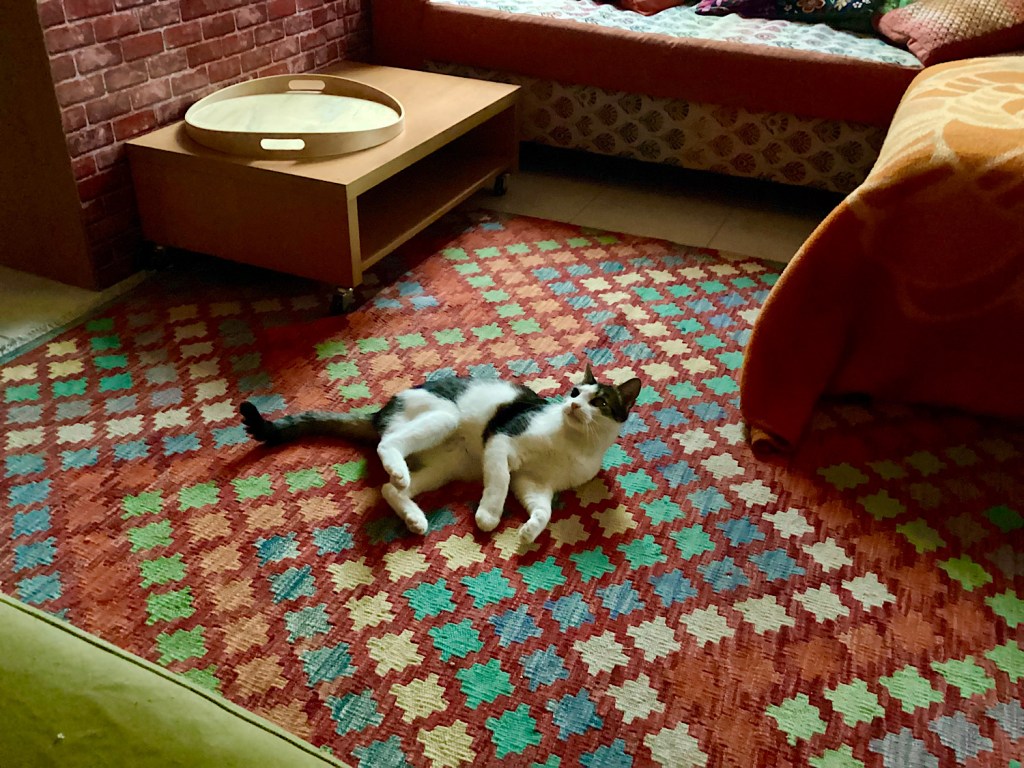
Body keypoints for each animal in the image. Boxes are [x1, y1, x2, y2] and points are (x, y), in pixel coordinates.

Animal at [239, 364, 642, 544]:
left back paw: (414, 517)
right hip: (444, 417)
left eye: (599, 402)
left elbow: (543, 509)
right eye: (574, 392)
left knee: (390, 489)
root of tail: (380, 411)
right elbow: (499, 481)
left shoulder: (536, 483)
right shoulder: (501, 441)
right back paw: (397, 471)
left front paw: (529, 530)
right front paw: (489, 515)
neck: (576, 444)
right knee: (388, 446)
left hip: (444, 467)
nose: (572, 405)